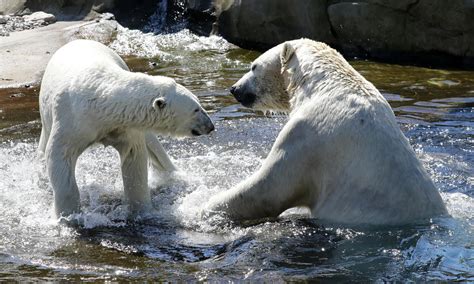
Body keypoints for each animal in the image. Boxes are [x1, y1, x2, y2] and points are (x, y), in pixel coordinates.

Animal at [38, 39, 213, 217]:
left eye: (198, 104)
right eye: (196, 109)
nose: (210, 126)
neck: (100, 97)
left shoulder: (125, 125)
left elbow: (134, 156)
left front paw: (141, 210)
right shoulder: (73, 120)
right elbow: (60, 155)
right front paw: (68, 215)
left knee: (153, 144)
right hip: (46, 114)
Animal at [205, 38, 448, 225]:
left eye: (253, 66)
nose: (235, 89)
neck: (325, 85)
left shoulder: (309, 137)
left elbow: (265, 191)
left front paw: (202, 206)